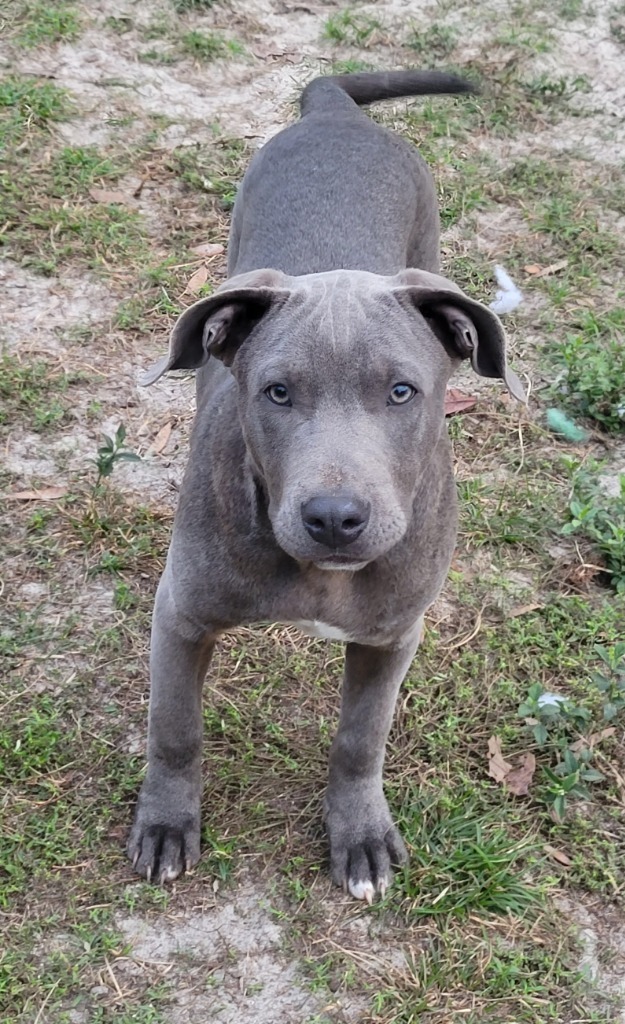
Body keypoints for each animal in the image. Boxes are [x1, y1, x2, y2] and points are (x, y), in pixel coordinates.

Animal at [132, 70, 524, 905]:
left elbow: (358, 740)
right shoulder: (181, 614)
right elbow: (175, 729)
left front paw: (361, 835)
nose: (335, 518)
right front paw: (167, 825)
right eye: (277, 393)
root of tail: (335, 109)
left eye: (402, 392)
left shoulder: (391, 637)